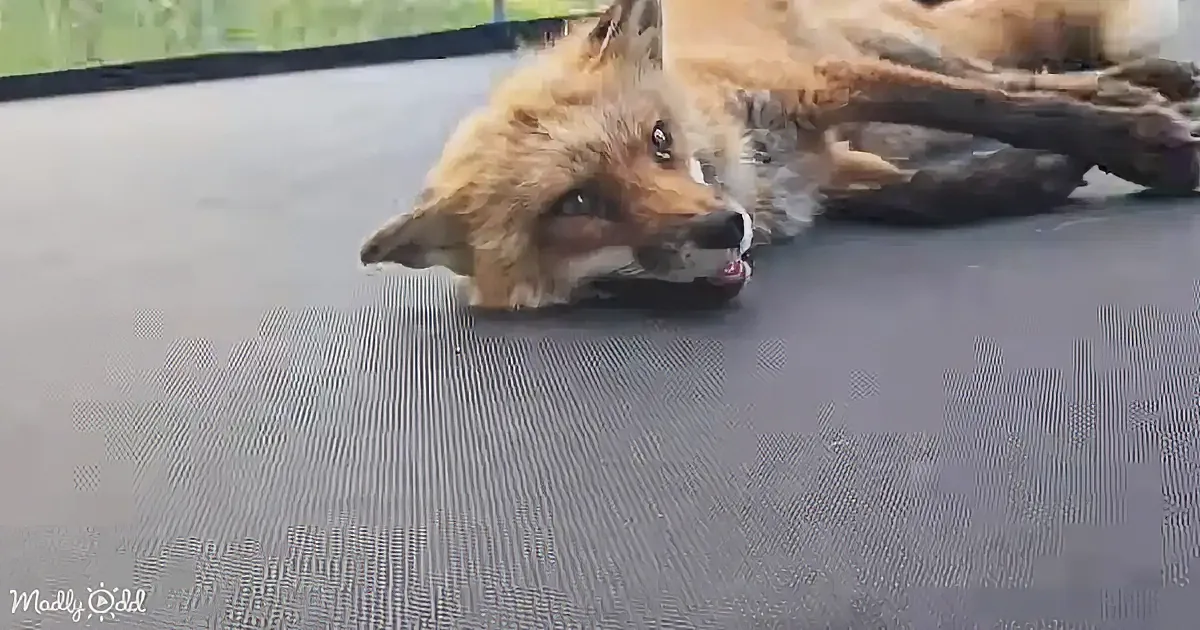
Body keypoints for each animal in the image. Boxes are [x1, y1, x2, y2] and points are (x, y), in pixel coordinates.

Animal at [359, 0, 1199, 311]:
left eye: (660, 142)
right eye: (577, 204)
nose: (721, 228)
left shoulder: (824, 87)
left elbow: (1020, 110)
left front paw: (1153, 146)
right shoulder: (827, 165)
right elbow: (917, 197)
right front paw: (1022, 179)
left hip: (889, 45)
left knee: (1020, 80)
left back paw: (1155, 90)